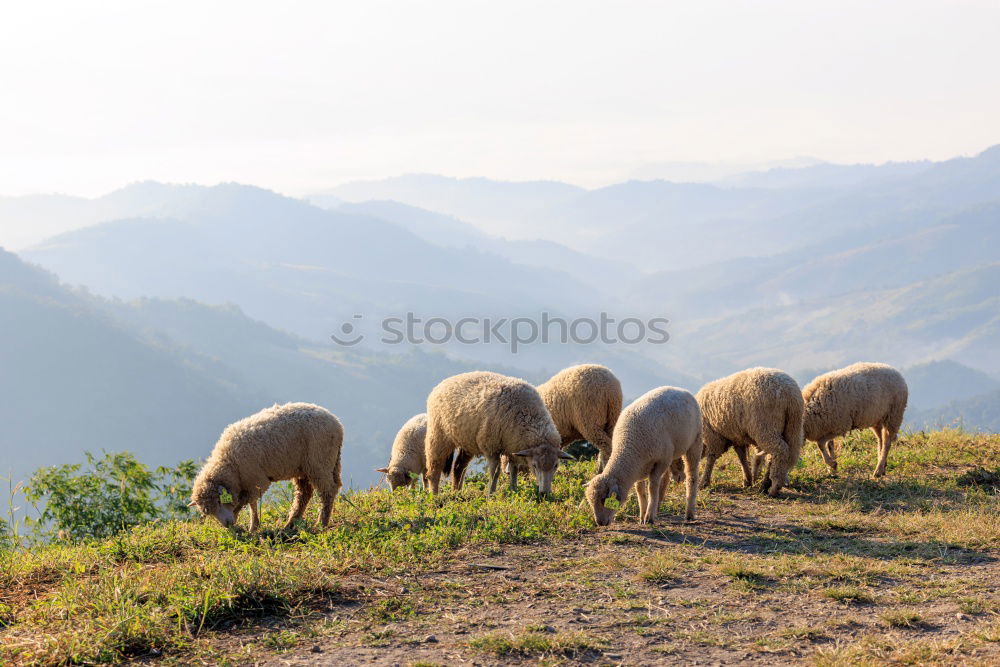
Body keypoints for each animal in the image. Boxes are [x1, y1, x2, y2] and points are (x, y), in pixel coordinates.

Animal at [190, 402, 344, 532]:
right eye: (209, 511)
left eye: (219, 501)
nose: (227, 524)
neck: (230, 464)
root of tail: (337, 423)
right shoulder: (248, 482)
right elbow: (250, 503)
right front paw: (250, 525)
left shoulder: (256, 480)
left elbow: (247, 502)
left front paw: (250, 525)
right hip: (309, 467)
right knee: (304, 494)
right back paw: (290, 524)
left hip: (319, 462)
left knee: (327, 491)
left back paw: (321, 523)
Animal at [426, 370, 576, 496]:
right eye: (534, 465)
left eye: (556, 465)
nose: (545, 493)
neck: (527, 414)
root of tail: (443, 383)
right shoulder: (491, 447)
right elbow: (495, 472)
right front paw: (491, 494)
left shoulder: (513, 446)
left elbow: (514, 470)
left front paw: (514, 490)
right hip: (438, 434)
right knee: (434, 468)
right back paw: (434, 495)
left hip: (467, 441)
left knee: (458, 467)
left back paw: (456, 493)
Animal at [584, 386, 700, 528]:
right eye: (590, 502)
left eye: (604, 500)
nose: (600, 523)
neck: (628, 447)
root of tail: (680, 389)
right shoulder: (639, 467)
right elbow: (640, 490)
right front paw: (642, 515)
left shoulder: (661, 461)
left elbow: (652, 488)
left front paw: (649, 517)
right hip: (674, 450)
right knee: (669, 475)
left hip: (695, 441)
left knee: (692, 476)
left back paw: (689, 513)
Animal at [696, 368, 804, 498]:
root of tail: (790, 393)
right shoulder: (737, 437)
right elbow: (742, 457)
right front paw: (747, 480)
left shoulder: (713, 436)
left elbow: (711, 458)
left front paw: (703, 482)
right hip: (793, 427)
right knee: (778, 455)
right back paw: (765, 485)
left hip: (766, 426)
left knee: (780, 451)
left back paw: (774, 487)